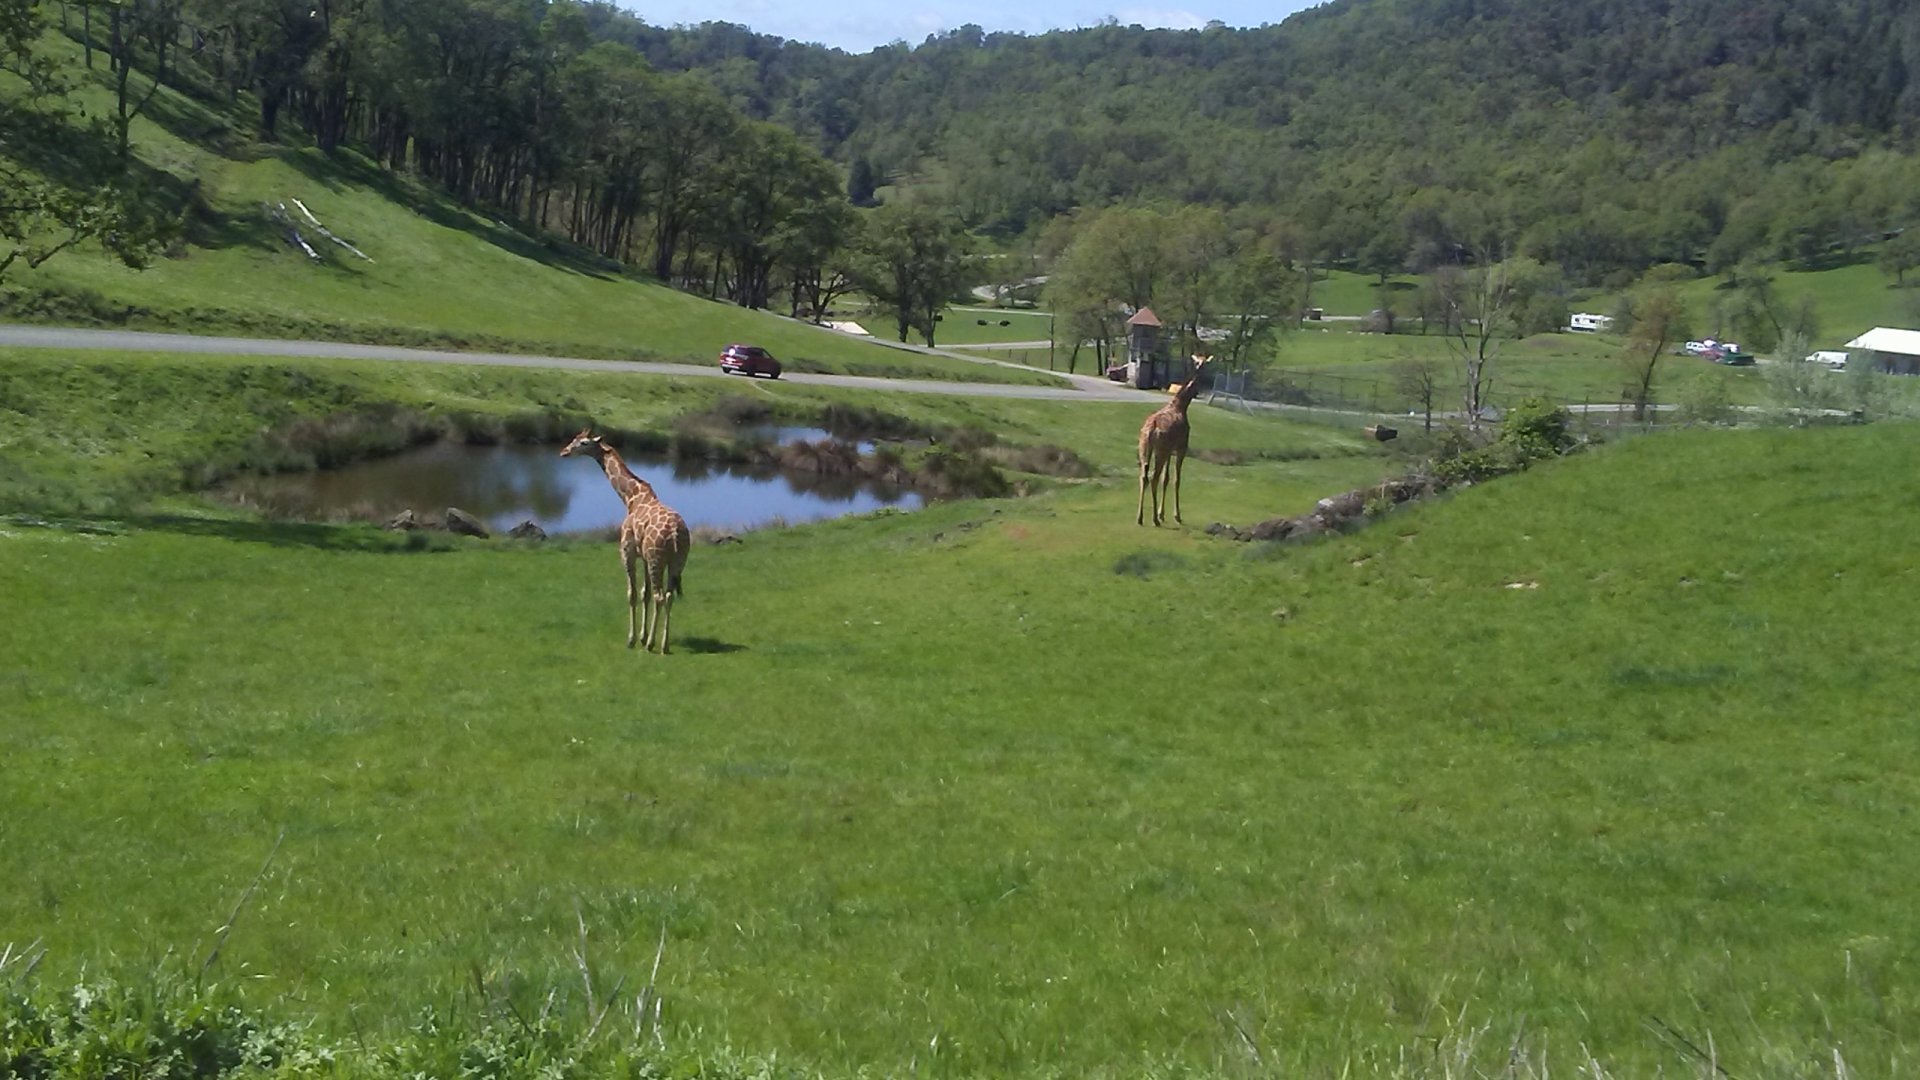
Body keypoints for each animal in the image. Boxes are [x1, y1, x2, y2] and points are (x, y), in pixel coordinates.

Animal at [560, 429, 691, 653]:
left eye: (583, 443)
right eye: (573, 440)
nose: (564, 452)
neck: (630, 498)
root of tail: (675, 532)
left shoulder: (627, 551)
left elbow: (632, 594)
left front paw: (632, 640)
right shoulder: (644, 557)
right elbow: (644, 594)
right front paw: (642, 636)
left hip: (657, 559)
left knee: (660, 596)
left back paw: (653, 644)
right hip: (676, 562)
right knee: (668, 596)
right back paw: (663, 645)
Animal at [1136, 355, 1211, 527]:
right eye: (1201, 362)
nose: (1203, 387)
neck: (1181, 405)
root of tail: (1151, 431)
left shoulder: (1170, 451)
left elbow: (1166, 479)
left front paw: (1162, 514)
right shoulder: (1181, 448)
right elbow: (1176, 480)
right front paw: (1176, 516)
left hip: (1145, 449)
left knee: (1144, 477)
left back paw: (1140, 517)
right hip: (1160, 451)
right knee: (1153, 478)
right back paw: (1154, 520)